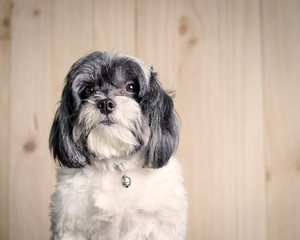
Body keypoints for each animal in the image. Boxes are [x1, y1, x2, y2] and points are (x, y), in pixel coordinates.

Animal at [48, 51, 188, 239]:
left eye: (131, 87)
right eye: (88, 90)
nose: (105, 103)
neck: (117, 164)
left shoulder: (162, 226)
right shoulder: (71, 228)